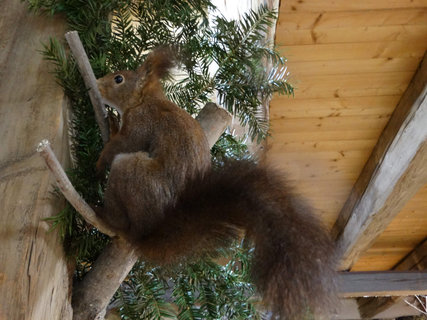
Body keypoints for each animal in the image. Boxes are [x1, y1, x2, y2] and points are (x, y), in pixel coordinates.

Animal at [96, 47, 338, 318]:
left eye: (119, 79)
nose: (97, 83)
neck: (145, 101)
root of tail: (152, 231)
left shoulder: (141, 124)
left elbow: (121, 144)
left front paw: (101, 155)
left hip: (132, 173)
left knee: (122, 216)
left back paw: (105, 216)